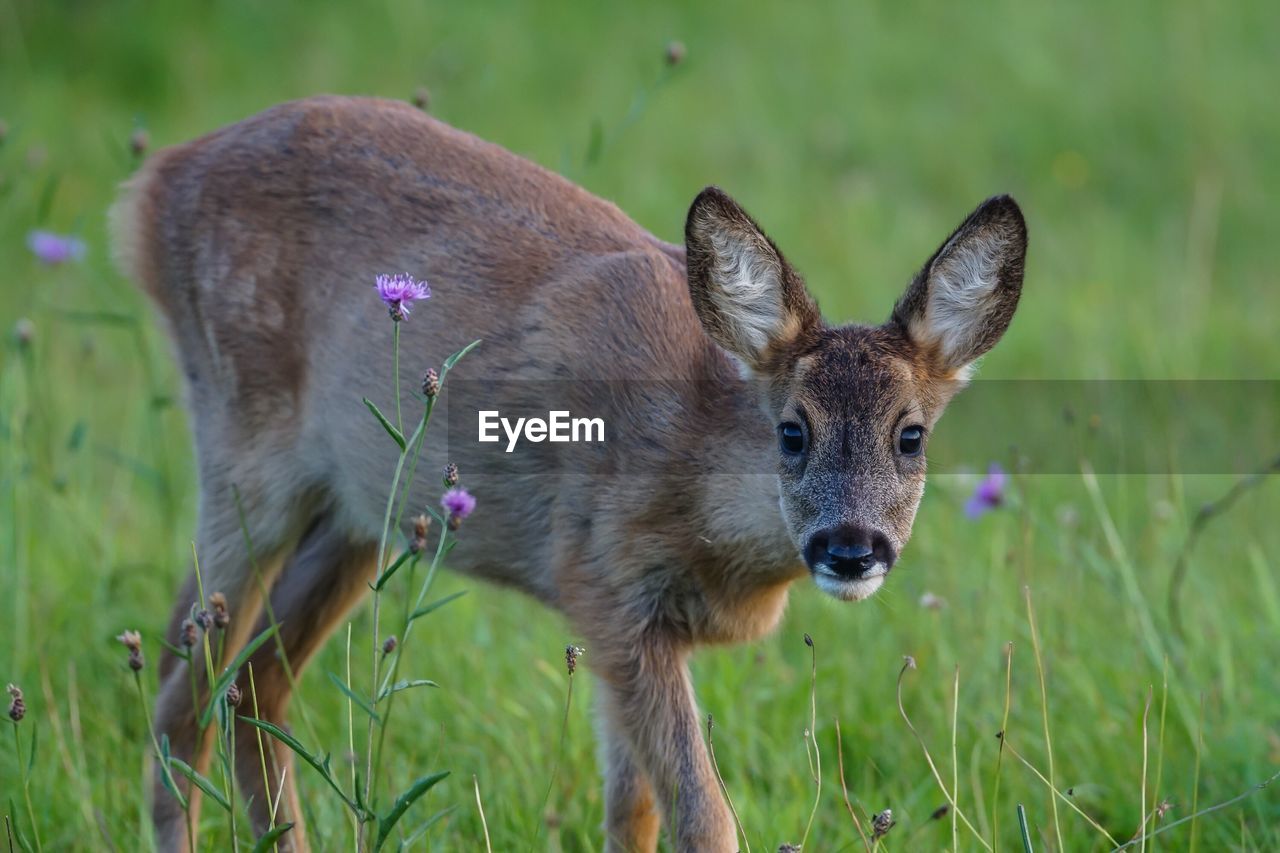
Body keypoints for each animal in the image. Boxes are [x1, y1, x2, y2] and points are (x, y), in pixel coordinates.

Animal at [112, 96, 1029, 845]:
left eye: (911, 435)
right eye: (793, 431)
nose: (851, 547)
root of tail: (151, 188)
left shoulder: (637, 627)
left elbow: (632, 812)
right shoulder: (605, 583)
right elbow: (704, 816)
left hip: (353, 513)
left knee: (251, 684)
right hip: (244, 441)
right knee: (182, 696)